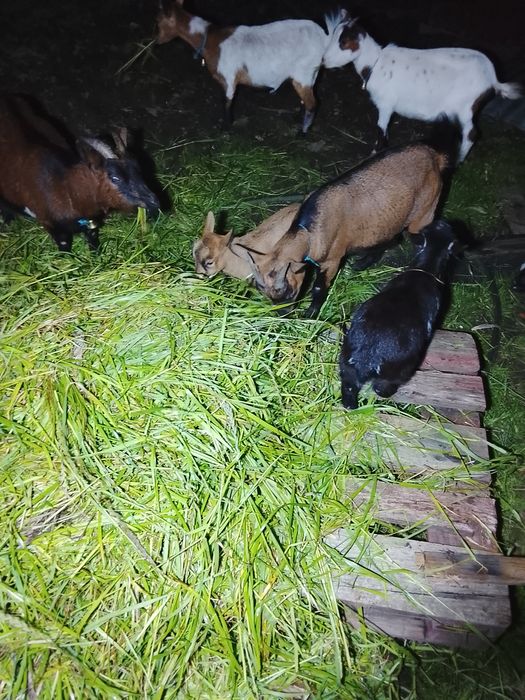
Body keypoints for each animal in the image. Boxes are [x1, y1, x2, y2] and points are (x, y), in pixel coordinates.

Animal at [0, 93, 160, 251]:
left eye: (139, 170)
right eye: (115, 178)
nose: (154, 201)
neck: (66, 189)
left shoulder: (91, 222)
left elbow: (93, 242)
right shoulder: (53, 225)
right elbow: (64, 248)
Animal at [156, 0, 348, 133]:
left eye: (158, 24)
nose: (155, 41)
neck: (209, 37)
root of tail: (325, 38)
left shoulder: (229, 77)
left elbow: (227, 102)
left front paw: (225, 128)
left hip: (303, 73)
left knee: (312, 103)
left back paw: (302, 132)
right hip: (310, 75)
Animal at [250, 121, 458, 319]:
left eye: (288, 291)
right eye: (267, 296)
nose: (283, 314)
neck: (310, 231)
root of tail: (435, 155)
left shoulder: (333, 258)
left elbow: (319, 287)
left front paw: (311, 313)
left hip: (425, 210)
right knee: (392, 239)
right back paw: (361, 264)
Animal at [323, 17, 522, 161]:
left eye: (343, 42)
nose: (324, 60)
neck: (375, 63)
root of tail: (493, 78)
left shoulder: (386, 103)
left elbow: (381, 128)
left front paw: (374, 154)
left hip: (465, 106)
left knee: (471, 134)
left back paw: (458, 160)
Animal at [339, 219, 458, 409]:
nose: (442, 220)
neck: (425, 268)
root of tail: (367, 356)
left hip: (346, 363)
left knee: (348, 390)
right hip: (396, 372)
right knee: (382, 388)